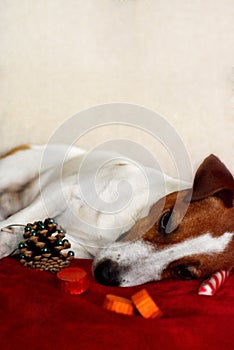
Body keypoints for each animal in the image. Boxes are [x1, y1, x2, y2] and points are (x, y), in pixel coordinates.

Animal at [0, 145, 233, 288]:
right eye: (166, 220)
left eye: (184, 272)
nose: (106, 274)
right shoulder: (63, 190)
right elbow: (27, 216)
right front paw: (5, 238)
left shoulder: (79, 248)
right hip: (15, 171)